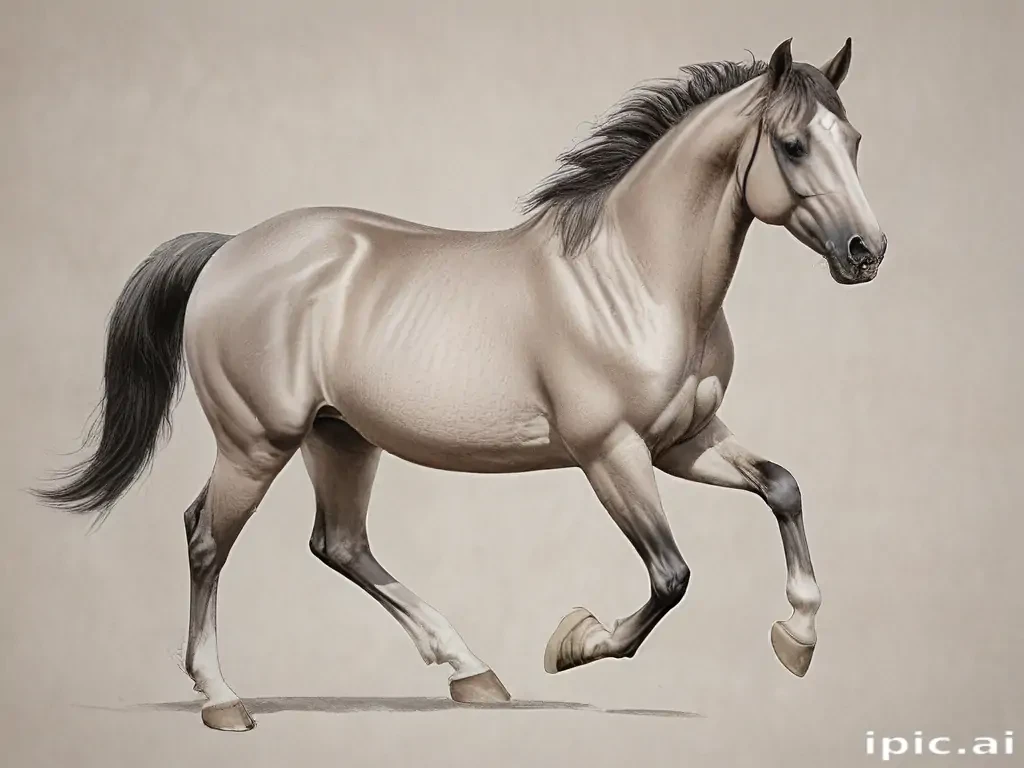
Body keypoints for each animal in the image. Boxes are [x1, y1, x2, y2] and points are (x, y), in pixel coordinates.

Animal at [35, 37, 887, 731]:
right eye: (792, 145)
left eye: (852, 139)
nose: (867, 251)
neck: (634, 278)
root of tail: (229, 250)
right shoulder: (609, 452)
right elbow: (671, 576)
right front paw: (573, 643)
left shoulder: (684, 440)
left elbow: (782, 487)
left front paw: (797, 638)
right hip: (256, 441)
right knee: (207, 538)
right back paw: (222, 699)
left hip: (339, 436)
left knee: (339, 544)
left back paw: (471, 672)